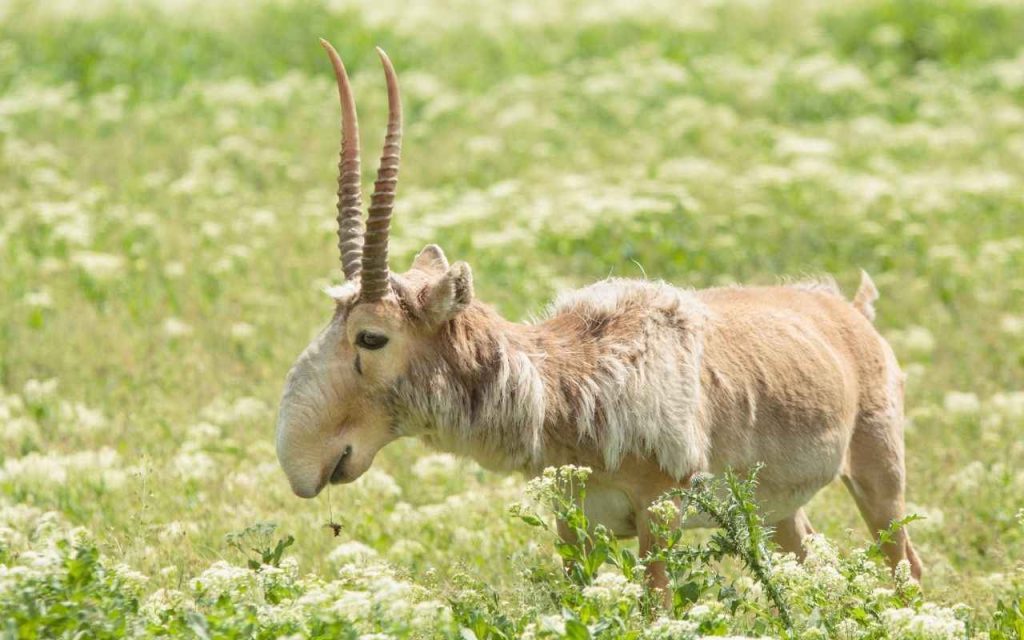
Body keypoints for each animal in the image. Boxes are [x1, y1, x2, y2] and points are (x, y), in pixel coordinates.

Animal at [275, 40, 923, 593]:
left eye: (371, 336)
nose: (301, 463)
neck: (573, 376)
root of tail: (847, 311)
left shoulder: (658, 518)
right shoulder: (575, 524)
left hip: (879, 478)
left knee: (906, 567)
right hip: (780, 511)